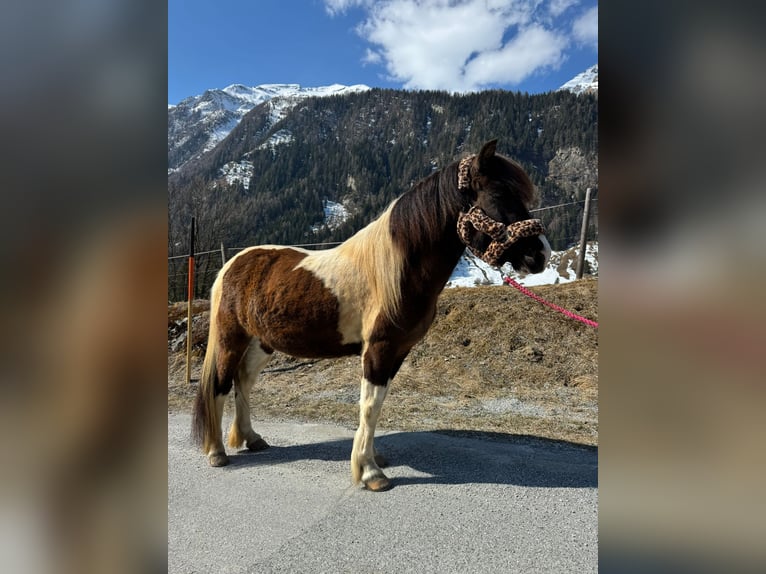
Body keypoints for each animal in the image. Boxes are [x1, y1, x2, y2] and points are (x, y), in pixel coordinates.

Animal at [192, 139, 551, 491]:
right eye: (499, 195)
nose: (541, 254)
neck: (398, 269)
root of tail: (233, 264)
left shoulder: (398, 351)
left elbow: (378, 405)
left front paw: (374, 458)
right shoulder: (378, 348)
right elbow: (369, 405)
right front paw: (369, 473)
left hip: (261, 344)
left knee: (243, 382)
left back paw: (252, 439)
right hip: (231, 339)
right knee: (220, 384)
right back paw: (217, 452)